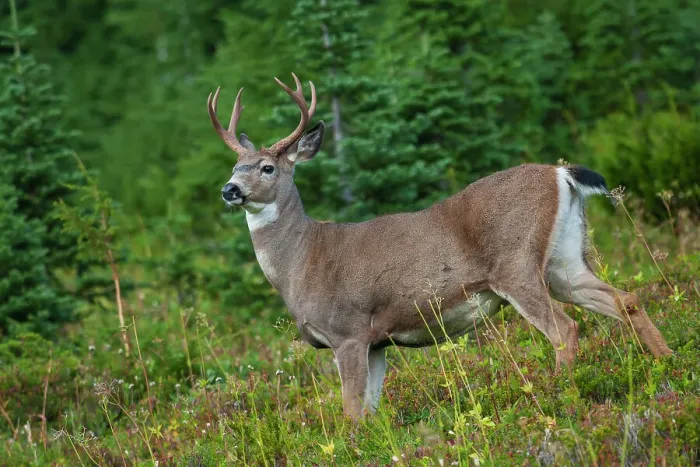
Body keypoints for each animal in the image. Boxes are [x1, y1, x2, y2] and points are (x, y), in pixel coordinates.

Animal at [207, 73, 673, 419]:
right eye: (234, 166)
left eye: (267, 167)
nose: (229, 190)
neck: (302, 261)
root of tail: (561, 174)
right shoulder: (377, 341)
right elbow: (371, 413)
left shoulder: (349, 331)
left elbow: (351, 412)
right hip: (563, 261)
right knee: (624, 299)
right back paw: (667, 363)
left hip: (516, 265)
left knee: (564, 329)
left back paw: (560, 394)